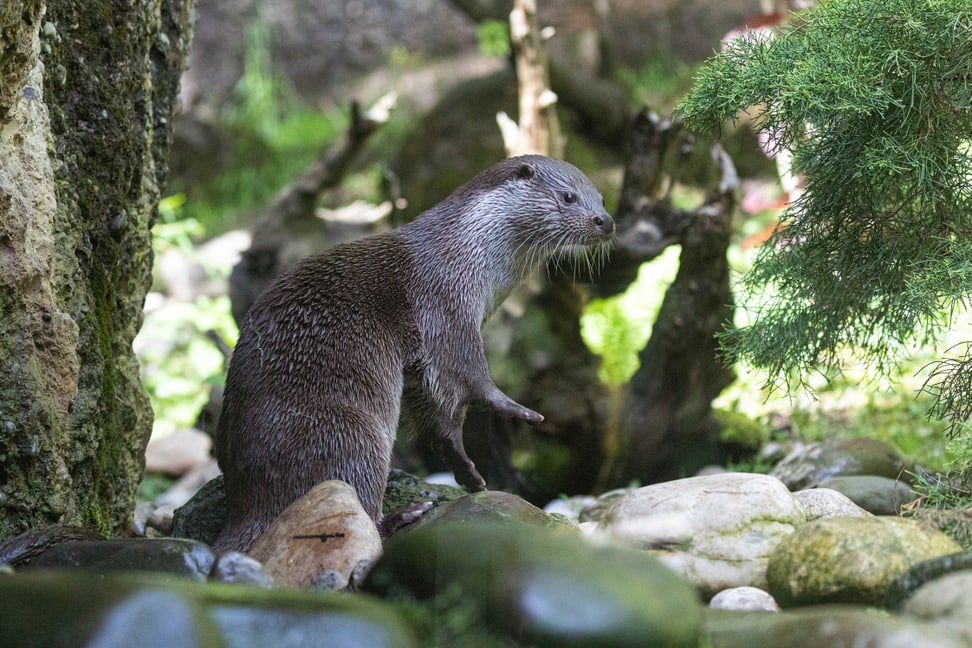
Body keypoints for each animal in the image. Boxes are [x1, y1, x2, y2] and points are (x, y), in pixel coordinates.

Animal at [215, 156, 616, 552]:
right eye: (568, 196)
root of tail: (248, 504)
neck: (466, 250)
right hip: (351, 433)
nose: (606, 221)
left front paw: (468, 473)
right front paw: (517, 410)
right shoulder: (446, 307)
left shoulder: (425, 354)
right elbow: (468, 375)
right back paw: (406, 514)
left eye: (601, 199)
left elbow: (435, 409)